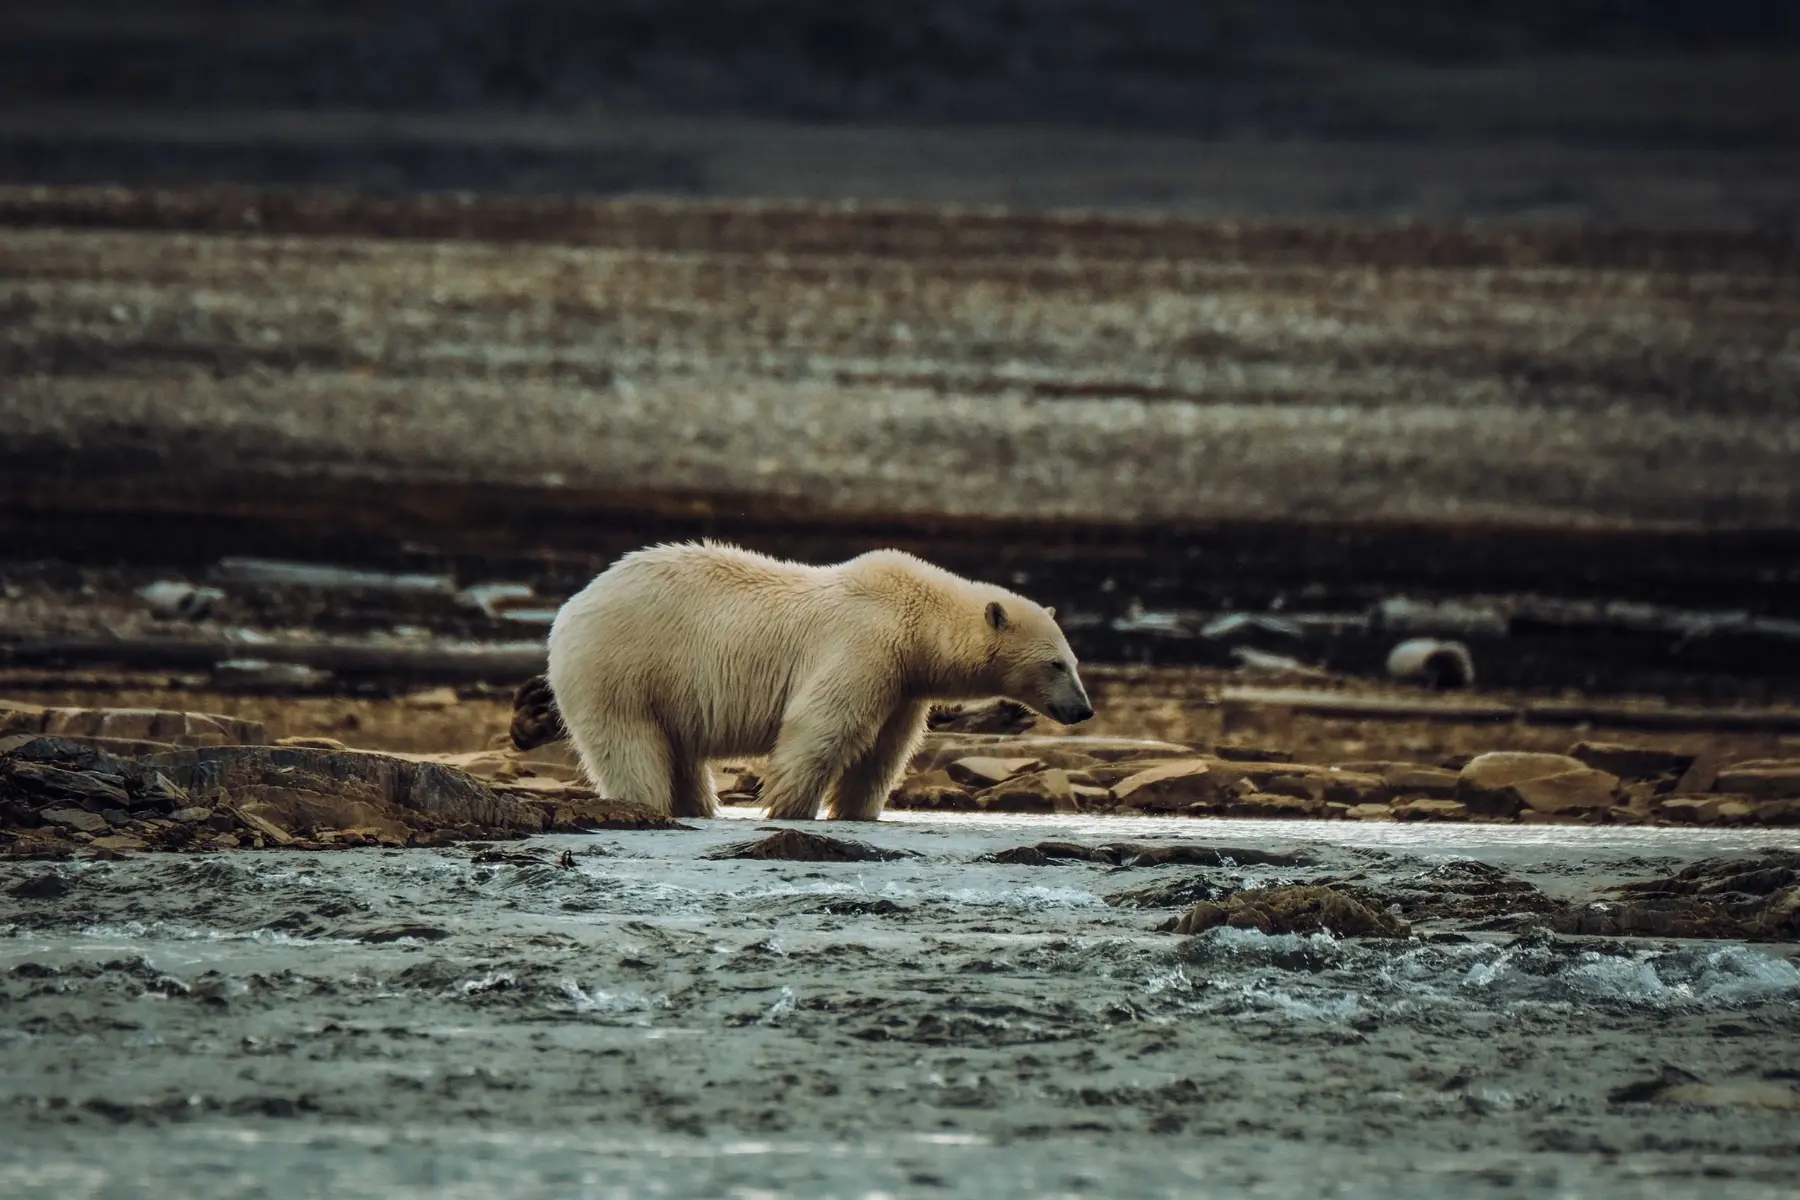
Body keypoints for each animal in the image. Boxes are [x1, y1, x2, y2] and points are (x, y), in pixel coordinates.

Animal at [545, 540, 1093, 821]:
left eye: (1073, 661)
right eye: (1056, 664)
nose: (1082, 709)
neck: (917, 621)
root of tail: (572, 606)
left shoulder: (903, 683)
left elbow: (883, 751)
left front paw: (856, 812)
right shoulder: (866, 646)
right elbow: (822, 727)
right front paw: (789, 809)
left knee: (678, 754)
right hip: (623, 666)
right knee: (630, 744)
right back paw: (647, 804)